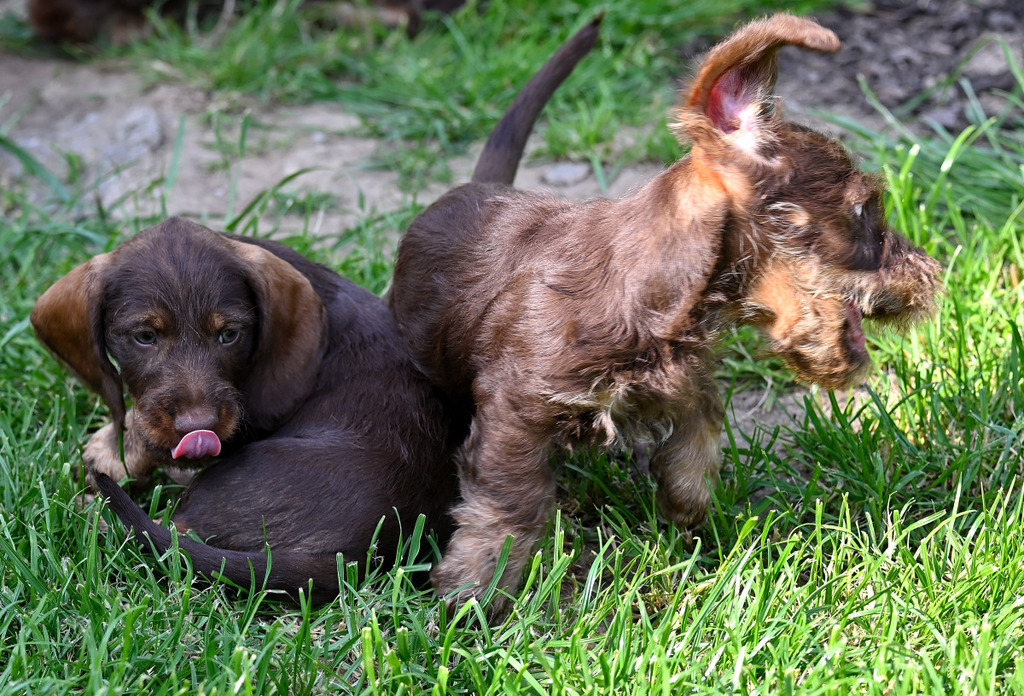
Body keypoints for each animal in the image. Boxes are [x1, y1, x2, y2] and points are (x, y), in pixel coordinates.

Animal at [32, 217, 459, 603]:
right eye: (145, 336)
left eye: (228, 335)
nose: (199, 428)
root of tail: (355, 558)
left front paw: (112, 451)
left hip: (221, 485)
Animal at [388, 14, 942, 613]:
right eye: (865, 209)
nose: (934, 274)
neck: (661, 294)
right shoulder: (516, 409)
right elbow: (511, 501)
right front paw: (474, 592)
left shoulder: (684, 377)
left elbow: (699, 437)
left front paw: (688, 512)